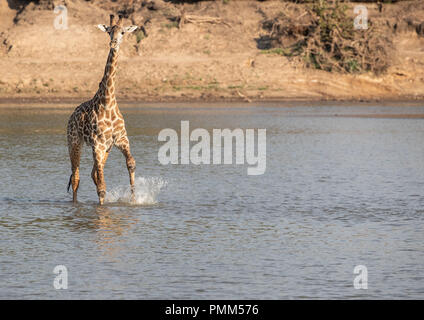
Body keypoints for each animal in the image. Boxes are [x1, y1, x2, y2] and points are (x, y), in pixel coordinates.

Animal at [66, 14, 137, 205]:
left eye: (122, 32)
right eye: (108, 31)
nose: (113, 43)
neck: (108, 103)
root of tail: (72, 115)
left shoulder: (120, 139)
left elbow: (131, 163)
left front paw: (134, 197)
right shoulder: (97, 144)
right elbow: (102, 189)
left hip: (106, 149)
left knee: (93, 173)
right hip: (75, 142)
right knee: (76, 177)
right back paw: (74, 204)